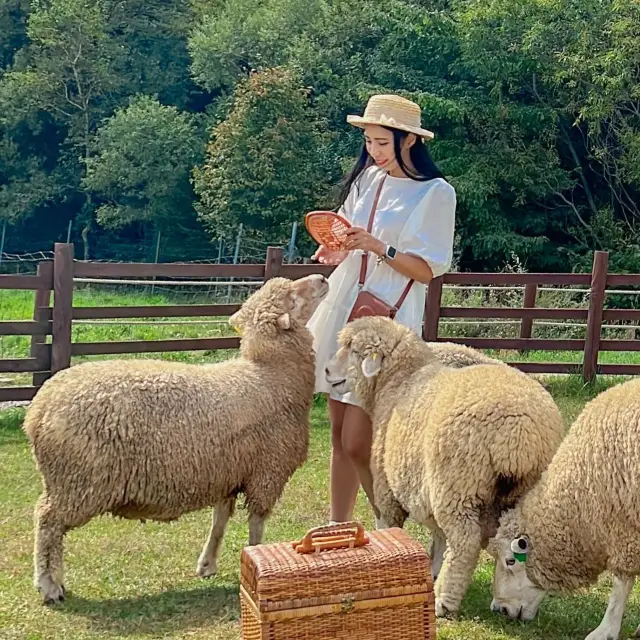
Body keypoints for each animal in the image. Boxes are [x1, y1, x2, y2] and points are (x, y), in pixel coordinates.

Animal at [22, 272, 328, 604]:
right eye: (293, 296)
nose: (322, 277)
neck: (270, 375)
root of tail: (39, 409)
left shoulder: (228, 473)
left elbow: (219, 520)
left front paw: (207, 564)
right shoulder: (267, 473)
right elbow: (256, 526)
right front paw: (256, 560)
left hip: (69, 479)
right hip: (77, 481)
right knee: (47, 522)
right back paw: (49, 585)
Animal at [324, 318, 564, 616]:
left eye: (353, 350)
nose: (326, 371)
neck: (401, 381)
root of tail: (521, 432)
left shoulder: (389, 485)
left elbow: (393, 523)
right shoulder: (426, 483)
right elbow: (438, 534)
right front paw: (432, 568)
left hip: (459, 484)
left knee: (465, 542)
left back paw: (445, 601)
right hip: (518, 493)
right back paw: (516, 605)